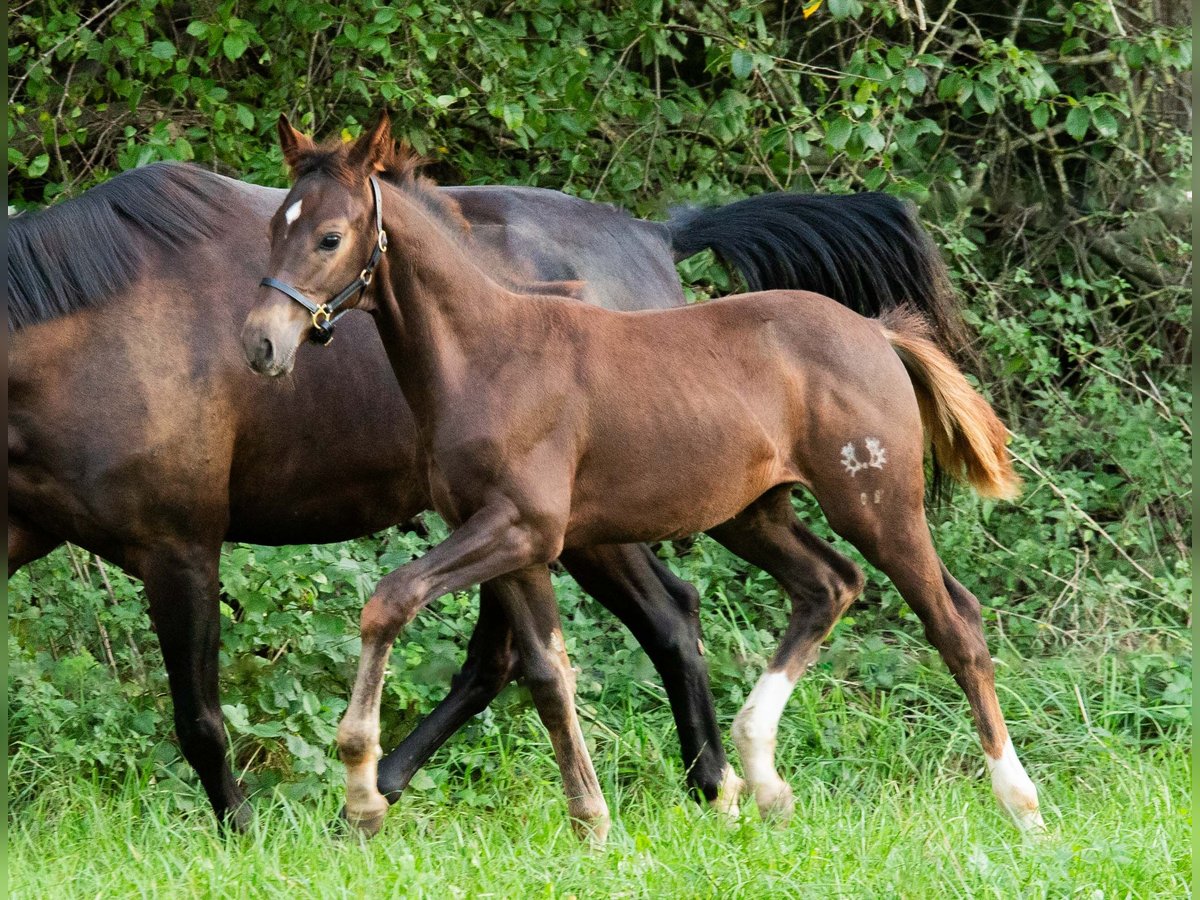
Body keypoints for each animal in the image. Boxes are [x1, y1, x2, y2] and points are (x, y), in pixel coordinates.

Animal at [7, 146, 964, 830]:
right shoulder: (23, 530)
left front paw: (245, 831)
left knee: (649, 621)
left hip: (588, 529)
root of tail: (656, 240)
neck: (92, 334)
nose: (266, 348)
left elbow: (200, 717)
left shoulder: (181, 548)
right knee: (553, 646)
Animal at [241, 116, 1041, 844]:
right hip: (754, 514)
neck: (489, 356)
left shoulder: (521, 528)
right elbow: (546, 673)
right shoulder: (513, 541)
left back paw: (1021, 804)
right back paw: (763, 777)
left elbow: (390, 601)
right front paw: (591, 821)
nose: (261, 344)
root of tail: (874, 331)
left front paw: (362, 792)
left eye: (330, 237)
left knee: (955, 622)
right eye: (274, 229)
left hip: (876, 504)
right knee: (829, 585)